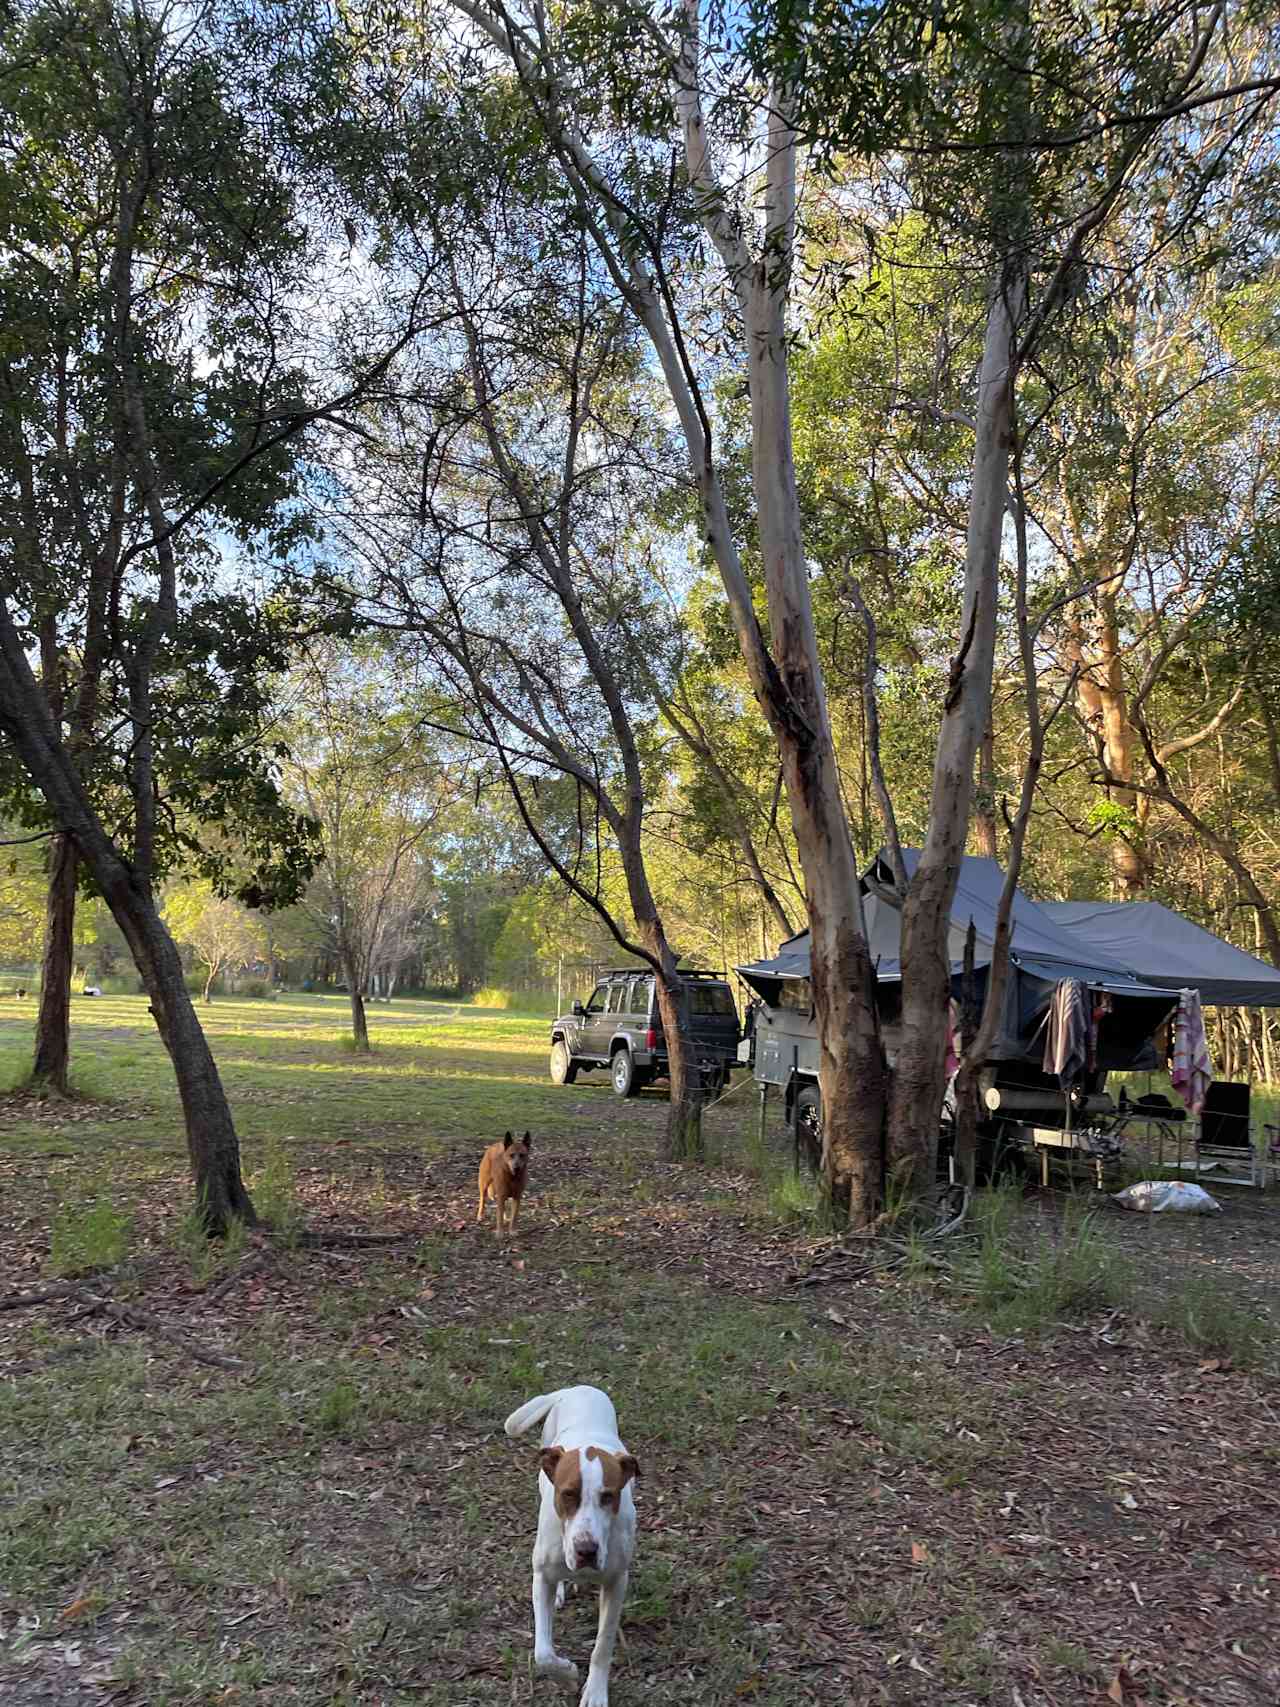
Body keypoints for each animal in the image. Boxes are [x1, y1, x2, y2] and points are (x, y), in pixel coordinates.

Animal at [505, 1386, 638, 1707]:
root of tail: (575, 1389)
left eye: (608, 1496)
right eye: (567, 1494)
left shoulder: (616, 1581)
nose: (586, 1551)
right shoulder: (542, 1576)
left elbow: (603, 1644)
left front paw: (596, 1691)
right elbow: (543, 1653)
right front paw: (565, 1673)